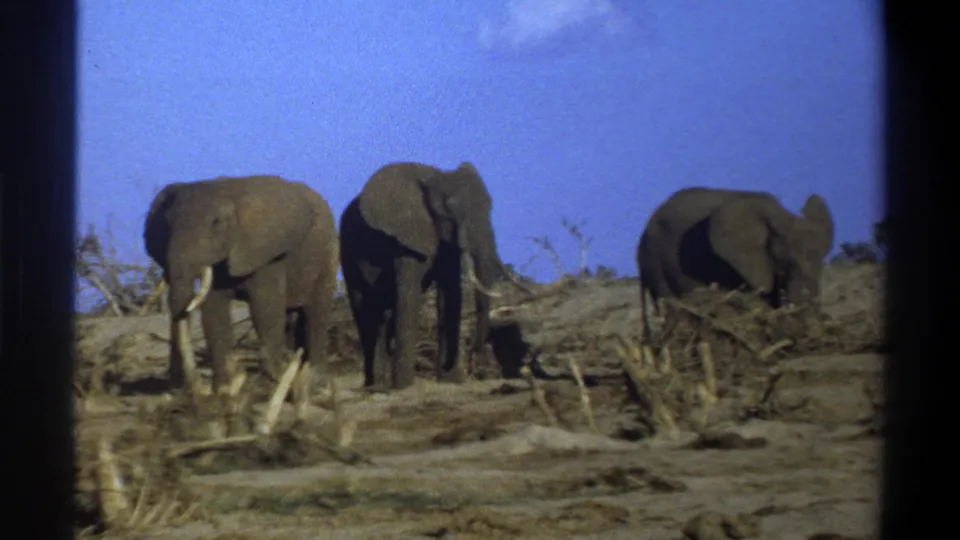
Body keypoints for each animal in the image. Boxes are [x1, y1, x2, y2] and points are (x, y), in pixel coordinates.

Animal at [143, 175, 339, 413]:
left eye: (216, 223)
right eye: (167, 225)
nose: (186, 392)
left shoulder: (266, 253)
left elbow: (265, 310)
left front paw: (277, 381)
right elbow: (214, 314)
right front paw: (227, 390)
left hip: (328, 253)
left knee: (316, 313)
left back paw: (316, 387)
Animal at [339, 161, 507, 391]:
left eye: (490, 206)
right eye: (450, 208)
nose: (476, 350)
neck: (435, 177)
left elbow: (451, 296)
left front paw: (450, 381)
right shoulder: (407, 238)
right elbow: (409, 298)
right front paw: (404, 386)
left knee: (382, 314)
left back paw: (380, 385)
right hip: (347, 254)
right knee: (366, 312)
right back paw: (375, 386)